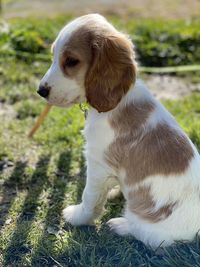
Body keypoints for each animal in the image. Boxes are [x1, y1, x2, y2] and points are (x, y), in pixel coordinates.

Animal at [38, 13, 200, 248]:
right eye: (53, 56)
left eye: (71, 61)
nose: (40, 90)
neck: (118, 100)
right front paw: (114, 190)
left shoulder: (97, 166)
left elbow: (89, 198)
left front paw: (77, 217)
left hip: (154, 228)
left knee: (144, 233)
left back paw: (120, 225)